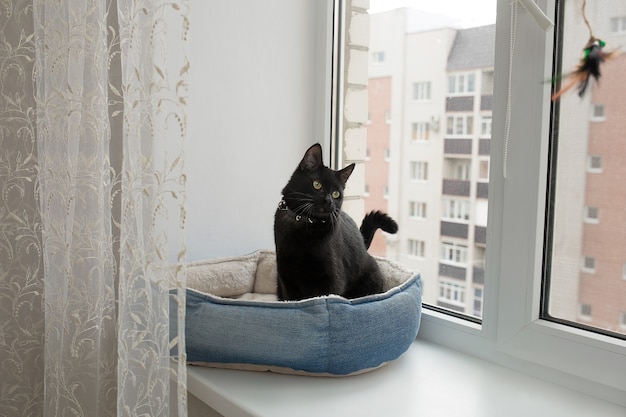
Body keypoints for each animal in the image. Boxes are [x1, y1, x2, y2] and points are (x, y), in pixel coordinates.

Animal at [272, 143, 394, 300]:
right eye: (317, 185)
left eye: (336, 194)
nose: (328, 200)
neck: (306, 224)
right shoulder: (286, 276)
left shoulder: (333, 276)